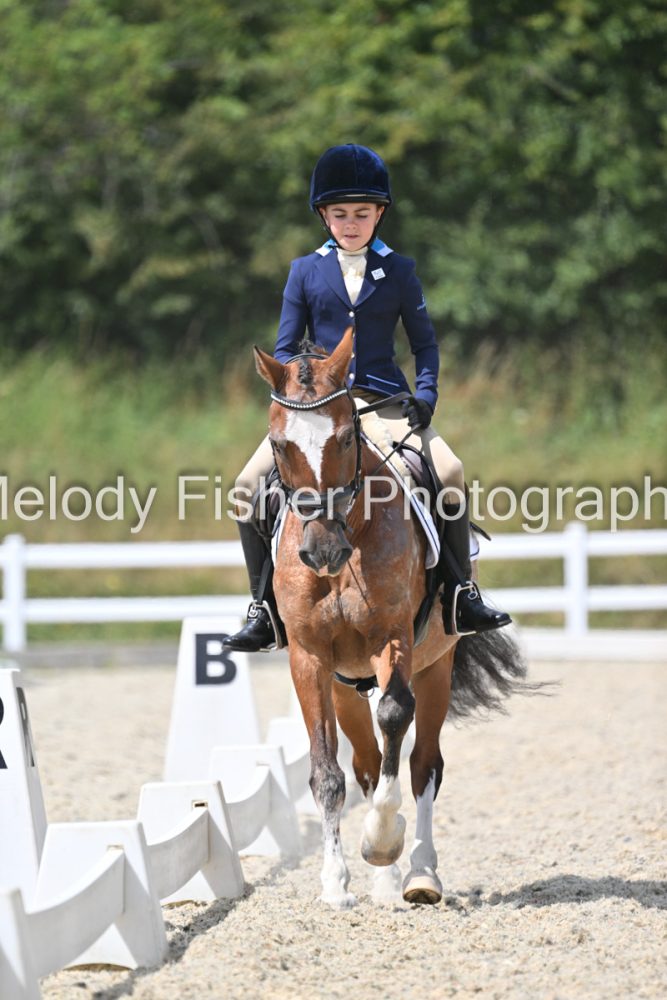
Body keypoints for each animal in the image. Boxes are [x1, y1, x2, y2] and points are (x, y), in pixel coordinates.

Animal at [254, 327, 526, 907]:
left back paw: (419, 875)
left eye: (344, 440)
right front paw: (336, 883)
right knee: (363, 763)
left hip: (436, 666)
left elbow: (397, 721)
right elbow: (328, 773)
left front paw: (381, 841)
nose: (322, 552)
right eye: (280, 445)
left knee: (422, 765)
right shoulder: (310, 660)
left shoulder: (393, 640)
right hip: (344, 687)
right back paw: (382, 885)